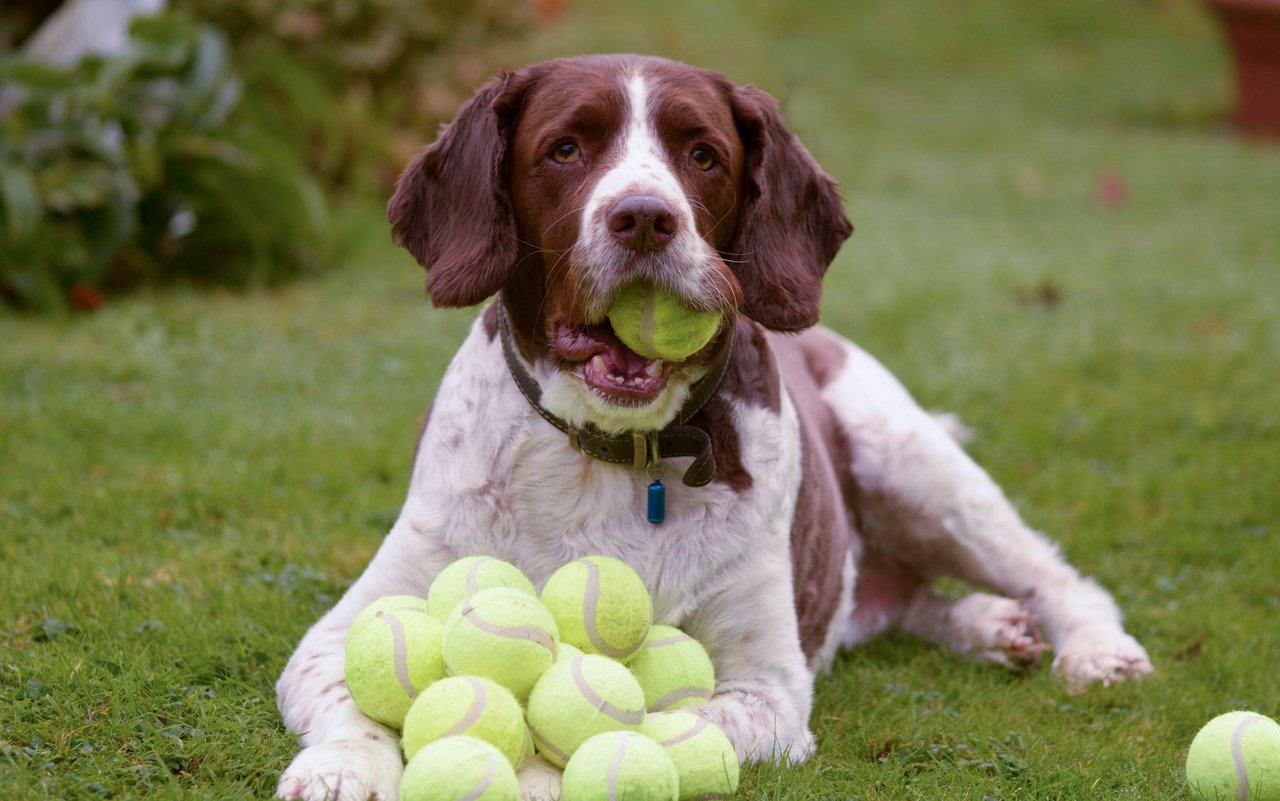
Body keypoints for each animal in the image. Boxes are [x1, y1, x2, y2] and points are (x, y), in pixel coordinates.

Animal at [272, 56, 1152, 798]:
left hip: (913, 465)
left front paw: (532, 775)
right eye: (564, 148)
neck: (607, 452)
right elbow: (354, 695)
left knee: (1055, 576)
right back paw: (987, 625)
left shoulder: (765, 687)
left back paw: (1091, 648)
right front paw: (340, 770)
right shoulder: (342, 627)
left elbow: (654, 729)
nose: (644, 218)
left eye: (702, 155)